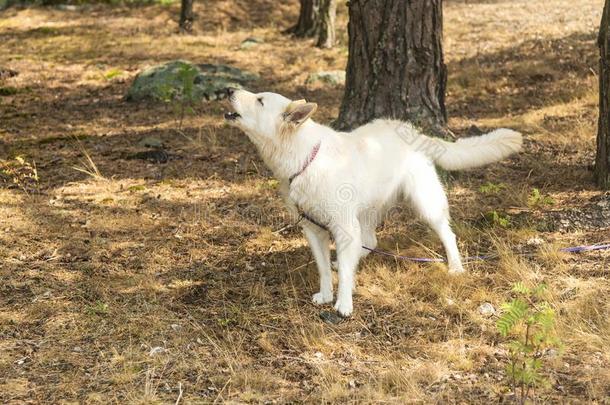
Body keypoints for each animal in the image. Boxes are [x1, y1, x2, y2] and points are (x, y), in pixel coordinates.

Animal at [223, 88, 516, 316]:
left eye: (260, 100)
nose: (228, 90)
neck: (305, 157)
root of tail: (409, 129)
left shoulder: (342, 226)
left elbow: (344, 274)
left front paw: (344, 303)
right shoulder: (314, 230)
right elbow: (324, 269)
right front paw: (327, 294)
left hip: (424, 203)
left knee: (446, 233)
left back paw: (455, 266)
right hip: (365, 211)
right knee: (368, 242)